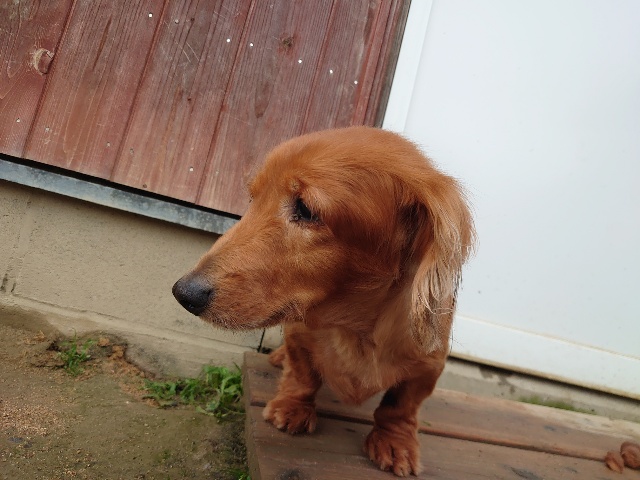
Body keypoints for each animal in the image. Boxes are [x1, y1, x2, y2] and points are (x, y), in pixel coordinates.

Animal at [173, 126, 475, 476]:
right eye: (253, 199)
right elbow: (302, 373)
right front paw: (292, 406)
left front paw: (394, 441)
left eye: (305, 209)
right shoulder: (298, 333)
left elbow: (400, 407)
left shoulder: (428, 368)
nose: (183, 292)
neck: (354, 327)